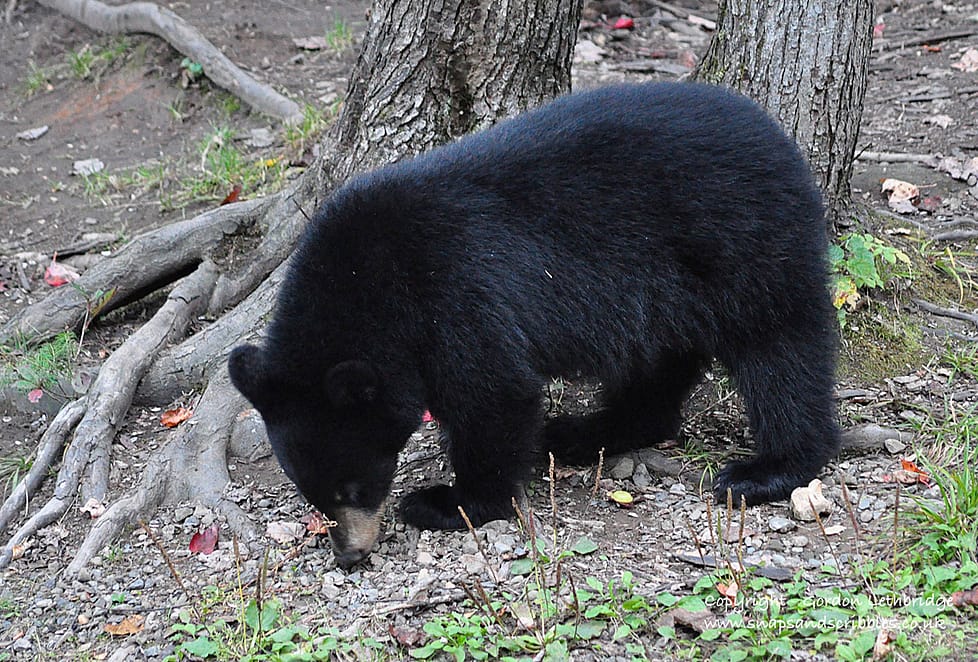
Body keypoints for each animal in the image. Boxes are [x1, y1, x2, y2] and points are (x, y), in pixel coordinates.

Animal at [229, 82, 841, 569]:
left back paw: (766, 469)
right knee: (655, 365)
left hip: (744, 242)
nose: (350, 554)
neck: (372, 281)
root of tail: (776, 136)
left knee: (780, 349)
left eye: (353, 484)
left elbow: (492, 394)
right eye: (312, 492)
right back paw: (584, 431)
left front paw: (448, 501)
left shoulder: (456, 293)